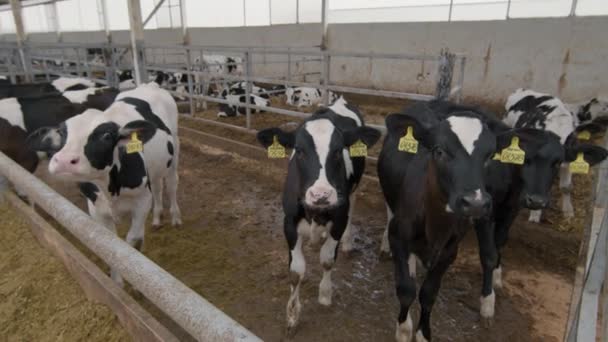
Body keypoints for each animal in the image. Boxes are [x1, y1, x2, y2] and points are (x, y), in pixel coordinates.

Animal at [28, 83, 180, 286]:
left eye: (107, 136)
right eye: (61, 133)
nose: (64, 161)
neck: (110, 189)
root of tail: (148, 85)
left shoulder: (142, 201)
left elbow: (132, 241)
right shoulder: (95, 207)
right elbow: (110, 246)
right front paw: (117, 282)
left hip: (175, 150)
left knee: (171, 184)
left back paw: (175, 217)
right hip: (156, 167)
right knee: (157, 186)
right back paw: (156, 219)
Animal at [256, 96, 380, 334]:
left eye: (338, 151)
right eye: (299, 150)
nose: (321, 195)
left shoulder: (339, 219)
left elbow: (327, 260)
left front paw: (324, 295)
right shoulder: (288, 222)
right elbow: (296, 271)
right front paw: (292, 316)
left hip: (353, 191)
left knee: (352, 209)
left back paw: (347, 243)